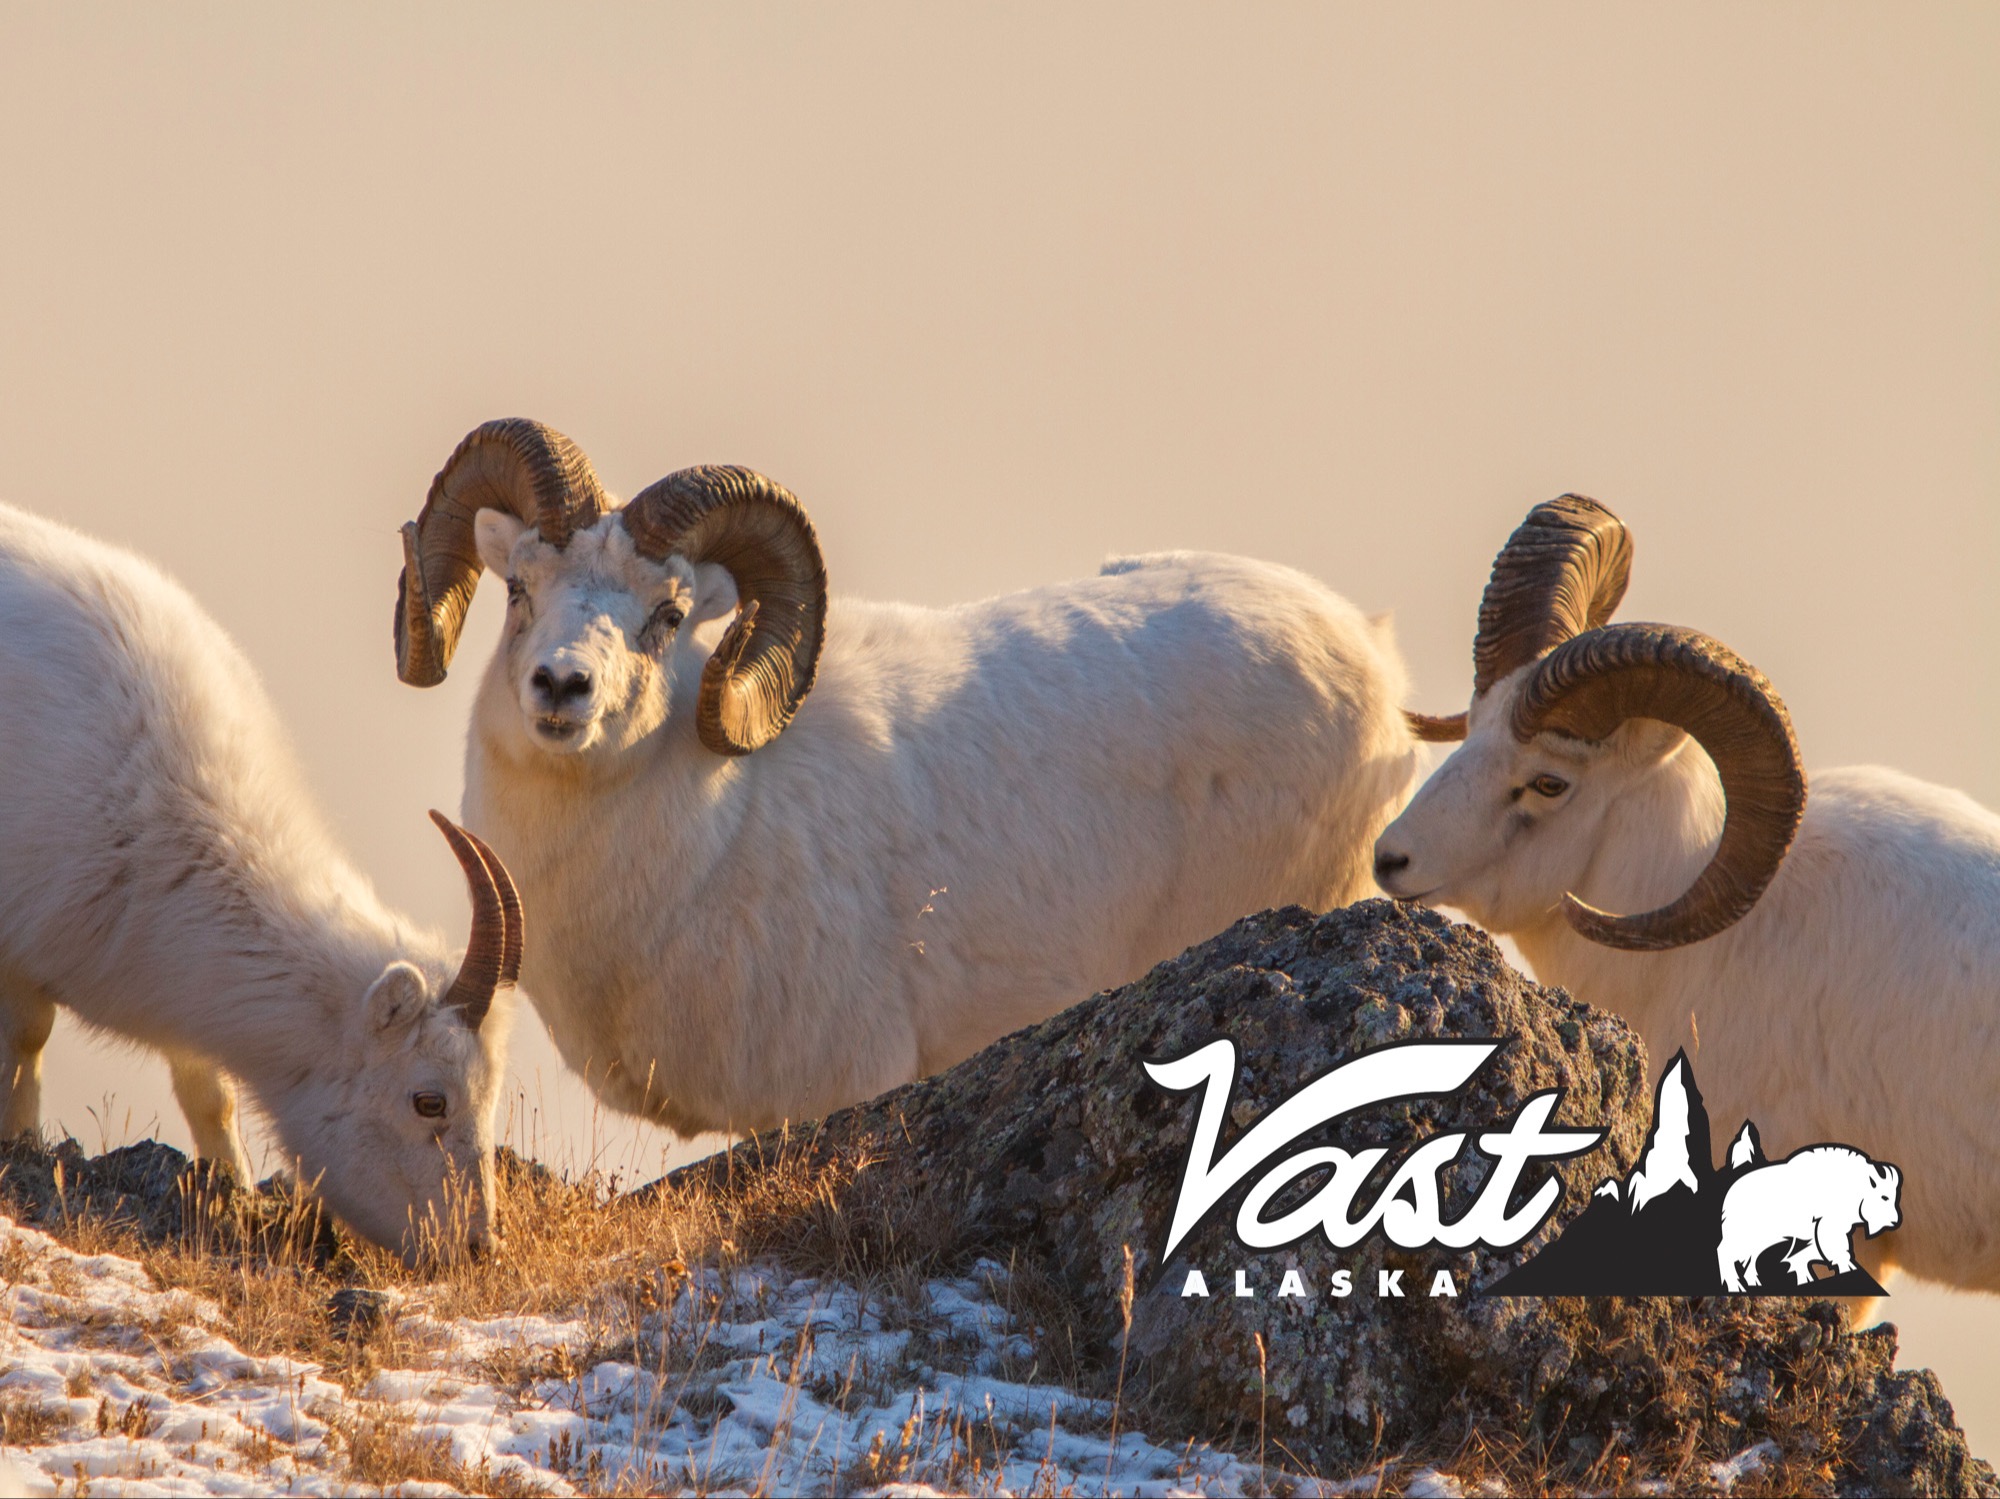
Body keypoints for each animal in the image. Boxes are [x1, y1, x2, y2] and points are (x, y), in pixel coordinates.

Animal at [0, 499, 524, 1263]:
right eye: (430, 1099)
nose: (479, 1247)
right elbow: (28, 1039)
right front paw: (21, 1146)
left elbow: (207, 1089)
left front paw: (233, 1187)